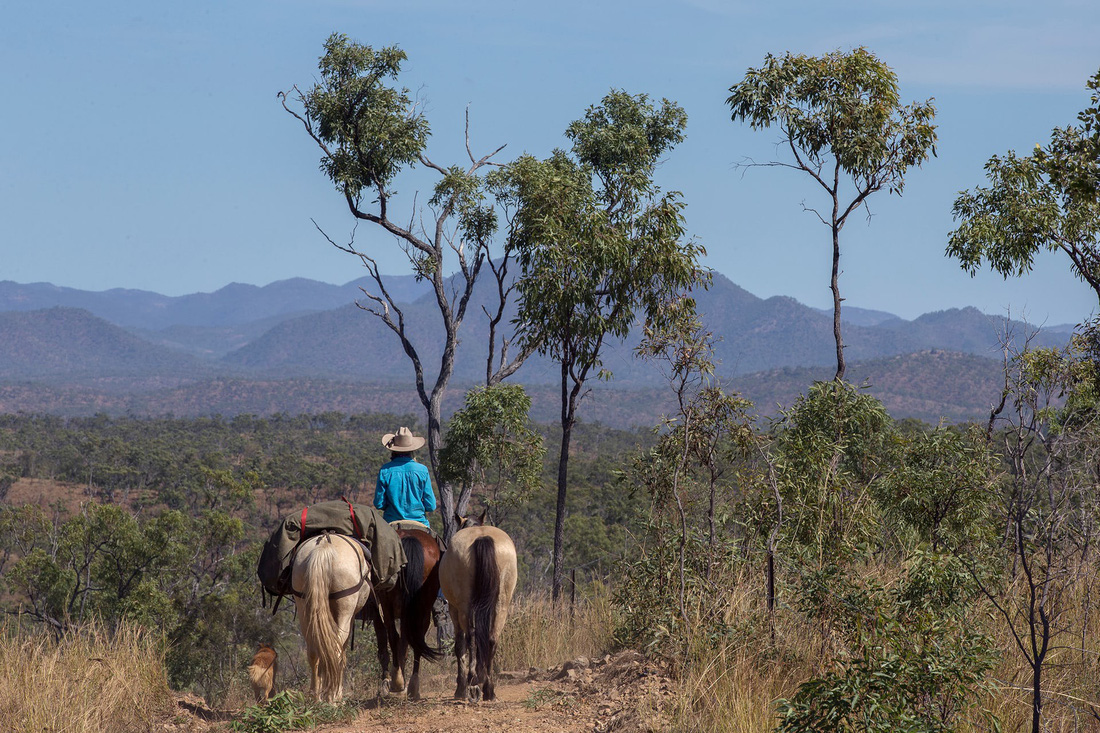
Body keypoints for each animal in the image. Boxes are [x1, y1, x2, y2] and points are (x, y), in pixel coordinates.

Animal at [288, 528, 374, 699]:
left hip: (304, 605)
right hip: (344, 608)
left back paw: (316, 695)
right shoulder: (350, 616)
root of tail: (323, 547)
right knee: (336, 650)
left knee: (313, 650)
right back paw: (333, 697)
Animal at [365, 521, 442, 699]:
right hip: (421, 607)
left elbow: (385, 646)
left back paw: (399, 682)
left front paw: (388, 681)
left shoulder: (378, 613)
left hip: (388, 604)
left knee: (395, 636)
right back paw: (412, 685)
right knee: (415, 638)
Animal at [435, 517, 517, 699]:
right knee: (492, 638)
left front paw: (460, 686)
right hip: (501, 604)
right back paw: (489, 688)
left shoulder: (454, 609)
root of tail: (482, 537)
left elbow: (460, 644)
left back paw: (471, 680)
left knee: (471, 638)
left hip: (464, 607)